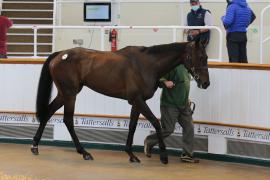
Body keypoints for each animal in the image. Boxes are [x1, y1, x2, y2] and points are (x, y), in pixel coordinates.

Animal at [31, 39, 209, 165]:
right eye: (200, 57)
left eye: (207, 57)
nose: (206, 83)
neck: (147, 64)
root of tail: (60, 54)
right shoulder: (138, 100)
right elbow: (156, 123)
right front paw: (163, 157)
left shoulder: (136, 102)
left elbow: (132, 126)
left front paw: (131, 155)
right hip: (70, 95)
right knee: (68, 120)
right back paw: (84, 153)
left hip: (64, 94)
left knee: (48, 113)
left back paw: (35, 146)